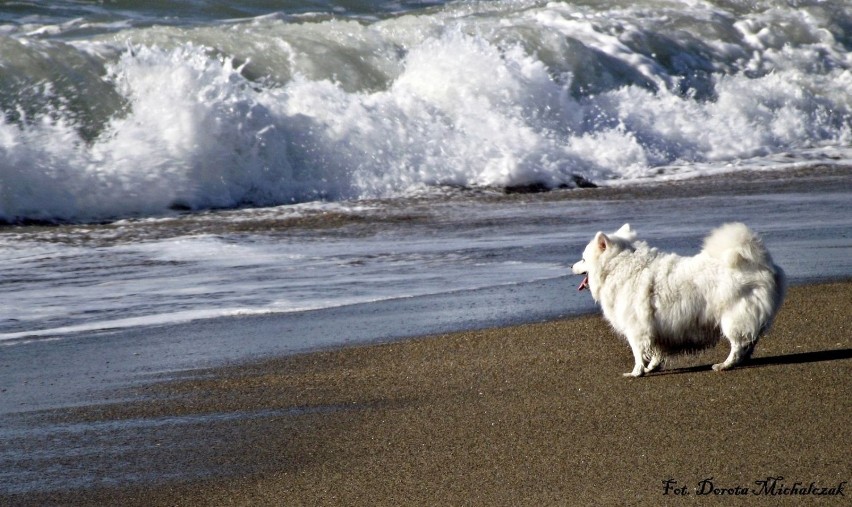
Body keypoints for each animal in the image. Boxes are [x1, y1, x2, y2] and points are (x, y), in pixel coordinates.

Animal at [572, 223, 784, 378]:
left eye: (583, 259)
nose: (571, 266)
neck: (621, 266)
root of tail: (762, 264)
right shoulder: (656, 331)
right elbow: (656, 352)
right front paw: (652, 368)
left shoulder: (636, 329)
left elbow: (638, 354)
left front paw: (636, 373)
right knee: (750, 340)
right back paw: (742, 360)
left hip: (732, 317)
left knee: (739, 344)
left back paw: (725, 364)